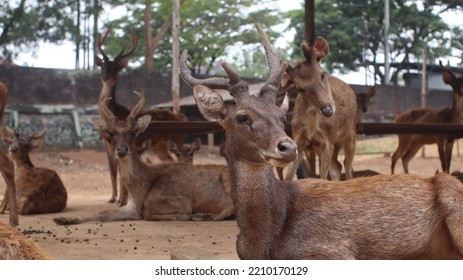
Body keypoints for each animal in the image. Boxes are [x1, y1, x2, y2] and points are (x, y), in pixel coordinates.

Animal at [53, 91, 236, 226]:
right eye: (111, 133)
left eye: (133, 132)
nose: (122, 150)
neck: (141, 189)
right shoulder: (132, 206)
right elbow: (103, 212)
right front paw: (63, 219)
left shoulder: (179, 200)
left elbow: (148, 213)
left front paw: (191, 215)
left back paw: (207, 215)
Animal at [95, 24, 189, 206]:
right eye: (103, 66)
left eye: (117, 68)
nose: (106, 77)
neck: (113, 110)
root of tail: (183, 117)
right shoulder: (107, 144)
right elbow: (112, 171)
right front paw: (113, 198)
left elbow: (121, 171)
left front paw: (122, 200)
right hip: (160, 146)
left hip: (178, 139)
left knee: (183, 159)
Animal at [280, 36, 358, 180]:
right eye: (300, 88)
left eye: (322, 75)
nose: (327, 110)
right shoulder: (299, 136)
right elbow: (289, 175)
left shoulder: (330, 137)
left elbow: (322, 175)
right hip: (318, 145)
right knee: (337, 166)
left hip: (351, 133)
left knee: (347, 166)